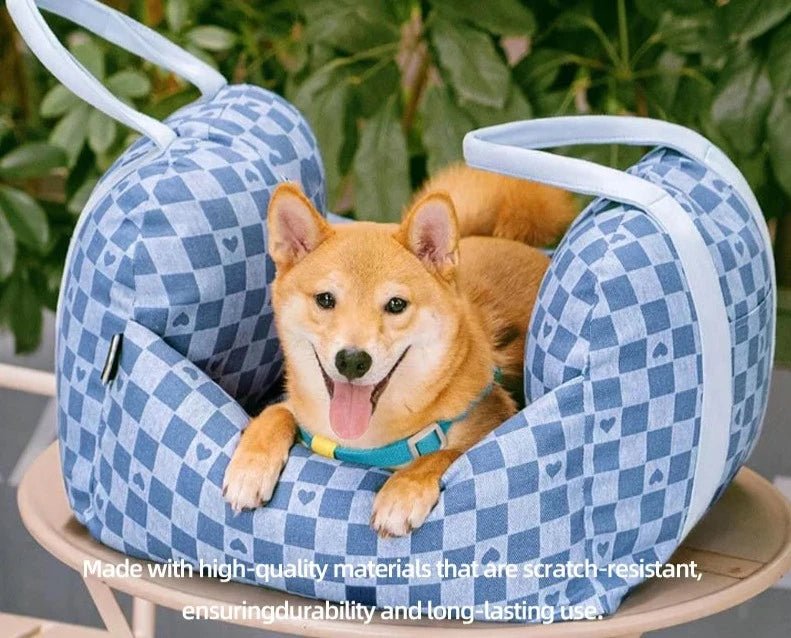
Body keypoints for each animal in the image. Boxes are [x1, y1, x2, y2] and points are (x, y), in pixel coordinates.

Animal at [223, 162, 576, 536]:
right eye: (325, 299)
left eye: (396, 304)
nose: (352, 360)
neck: (364, 444)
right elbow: (276, 412)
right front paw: (250, 465)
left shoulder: (490, 420)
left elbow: (445, 454)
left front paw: (402, 491)